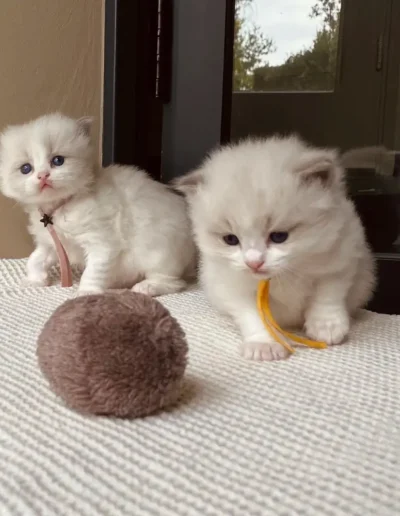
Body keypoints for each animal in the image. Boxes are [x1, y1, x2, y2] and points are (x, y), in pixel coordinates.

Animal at [0, 113, 197, 294]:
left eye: (58, 160)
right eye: (26, 168)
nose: (43, 176)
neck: (58, 209)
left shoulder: (101, 242)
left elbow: (93, 272)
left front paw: (86, 292)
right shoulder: (54, 243)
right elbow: (35, 260)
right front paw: (34, 281)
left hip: (156, 253)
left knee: (174, 282)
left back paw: (146, 287)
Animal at [174, 137, 376, 362]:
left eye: (279, 236)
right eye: (231, 239)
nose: (253, 262)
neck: (285, 275)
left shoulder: (341, 258)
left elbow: (327, 295)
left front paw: (326, 327)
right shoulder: (232, 285)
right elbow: (254, 316)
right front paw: (264, 344)